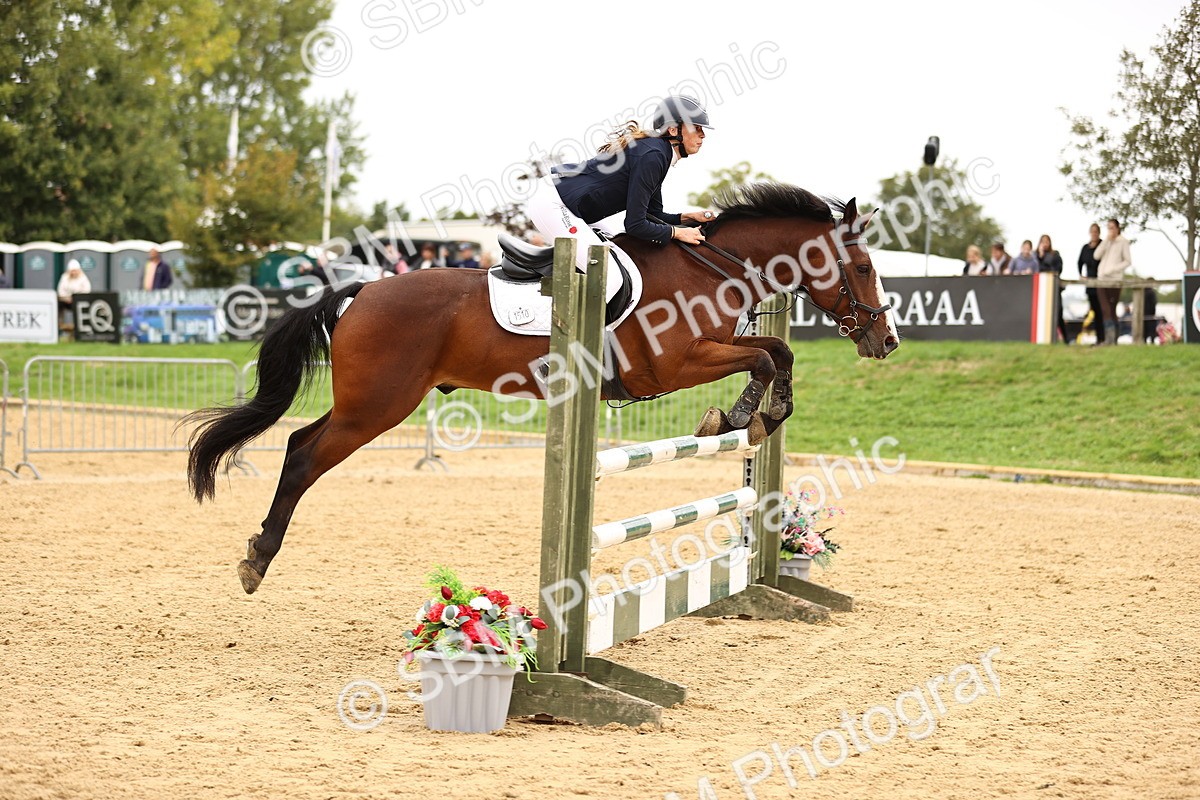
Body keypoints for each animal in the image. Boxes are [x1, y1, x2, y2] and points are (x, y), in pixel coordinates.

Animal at [187, 183, 900, 594]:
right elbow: (771, 355)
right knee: (304, 455)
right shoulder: (675, 365)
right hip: (376, 407)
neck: (710, 269)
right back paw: (257, 560)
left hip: (369, 404)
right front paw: (751, 416)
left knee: (300, 443)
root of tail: (361, 288)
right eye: (864, 266)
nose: (886, 342)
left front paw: (743, 418)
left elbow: (770, 354)